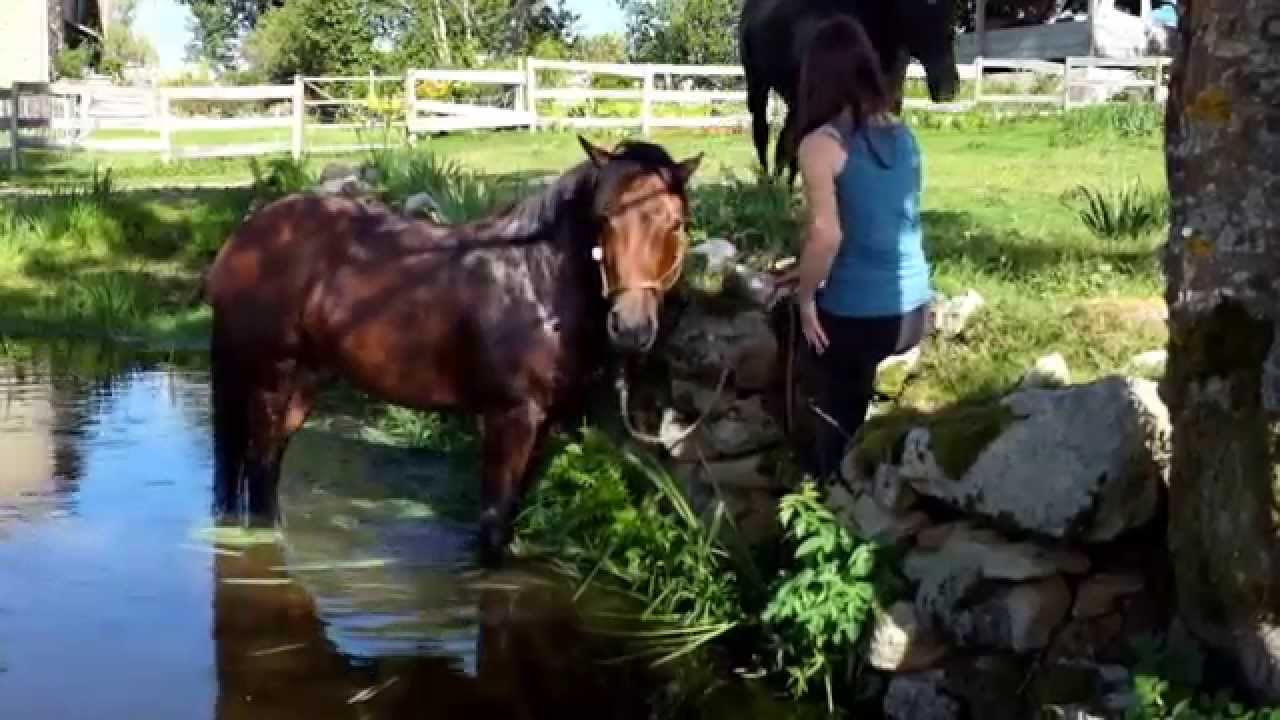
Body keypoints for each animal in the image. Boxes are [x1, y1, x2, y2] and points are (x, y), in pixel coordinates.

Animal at [204, 137, 703, 563]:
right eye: (604, 219)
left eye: (676, 223)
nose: (631, 327)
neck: (535, 280)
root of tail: (247, 234)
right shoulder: (509, 419)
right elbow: (494, 522)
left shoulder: (544, 424)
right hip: (271, 378)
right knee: (260, 469)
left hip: (304, 381)